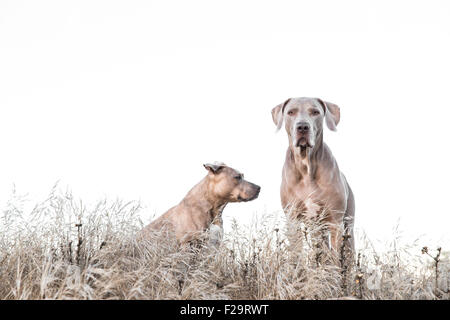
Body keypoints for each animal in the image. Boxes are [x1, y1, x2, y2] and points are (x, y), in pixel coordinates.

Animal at [270, 97, 356, 252]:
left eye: (315, 112)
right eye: (291, 112)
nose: (302, 126)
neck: (307, 167)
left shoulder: (335, 221)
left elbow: (336, 255)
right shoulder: (292, 220)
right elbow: (296, 252)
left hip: (347, 227)